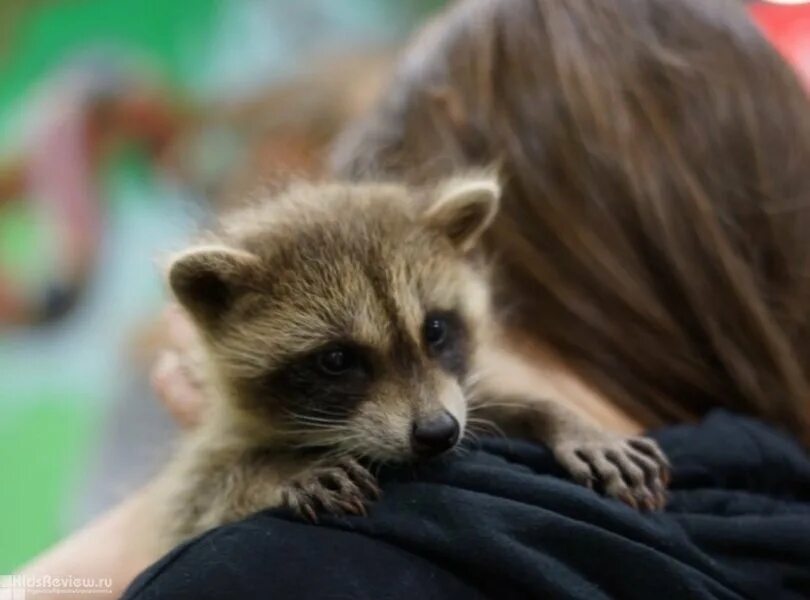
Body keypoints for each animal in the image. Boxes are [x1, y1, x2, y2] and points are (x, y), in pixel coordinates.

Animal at [155, 175, 664, 552]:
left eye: (435, 330)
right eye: (337, 359)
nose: (438, 434)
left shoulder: (452, 393)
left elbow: (481, 404)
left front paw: (561, 417)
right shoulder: (218, 437)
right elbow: (196, 494)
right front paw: (281, 468)